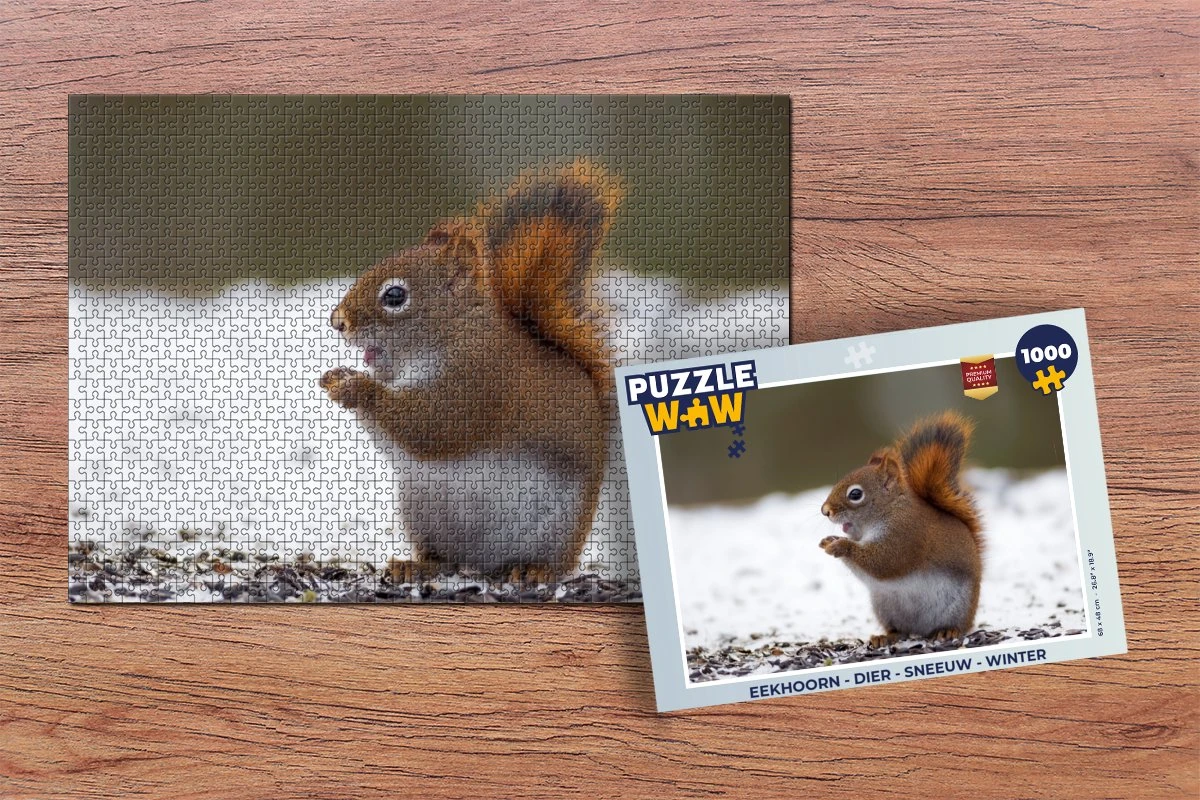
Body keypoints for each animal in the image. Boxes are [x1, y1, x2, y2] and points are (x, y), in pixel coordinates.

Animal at [319, 159, 620, 584]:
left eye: (395, 295)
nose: (337, 321)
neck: (454, 334)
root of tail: (482, 563)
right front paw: (337, 377)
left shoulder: (478, 382)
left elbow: (432, 426)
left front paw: (359, 388)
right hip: (422, 510)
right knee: (445, 557)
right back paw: (418, 564)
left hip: (557, 528)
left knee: (556, 564)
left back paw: (534, 570)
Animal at [819, 411, 984, 647]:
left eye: (855, 494)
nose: (825, 511)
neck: (889, 509)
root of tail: (921, 630)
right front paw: (829, 540)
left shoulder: (906, 535)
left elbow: (884, 562)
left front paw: (841, 546)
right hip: (885, 606)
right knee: (901, 629)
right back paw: (887, 636)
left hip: (957, 607)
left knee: (960, 626)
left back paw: (947, 631)